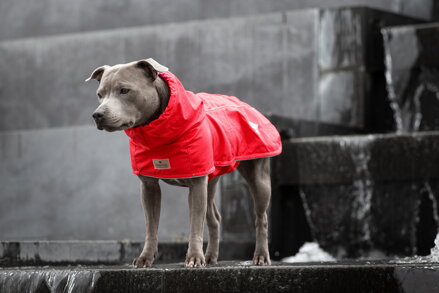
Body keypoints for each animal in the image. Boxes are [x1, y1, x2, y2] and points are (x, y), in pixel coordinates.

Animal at [86, 58, 282, 266]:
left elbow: (195, 224)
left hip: (258, 178)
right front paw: (145, 257)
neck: (158, 130)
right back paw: (211, 256)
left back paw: (260, 256)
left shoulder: (196, 183)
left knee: (261, 218)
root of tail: (248, 105)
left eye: (124, 90)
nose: (97, 114)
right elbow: (151, 227)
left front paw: (194, 257)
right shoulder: (149, 186)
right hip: (211, 181)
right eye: (99, 94)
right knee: (214, 217)